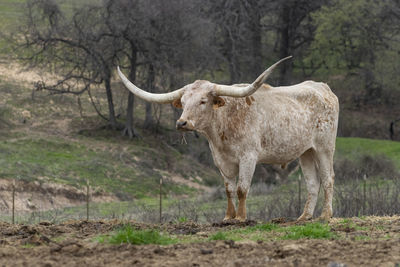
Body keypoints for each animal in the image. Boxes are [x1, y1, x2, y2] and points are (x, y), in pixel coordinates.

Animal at [117, 57, 340, 223]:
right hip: (306, 152)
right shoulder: (221, 160)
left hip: (324, 147)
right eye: (183, 101)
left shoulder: (249, 157)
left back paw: (325, 215)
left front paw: (241, 217)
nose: (181, 123)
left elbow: (242, 188)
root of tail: (323, 88)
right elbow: (228, 189)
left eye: (203, 101)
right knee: (312, 183)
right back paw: (304, 217)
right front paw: (228, 217)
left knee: (328, 178)